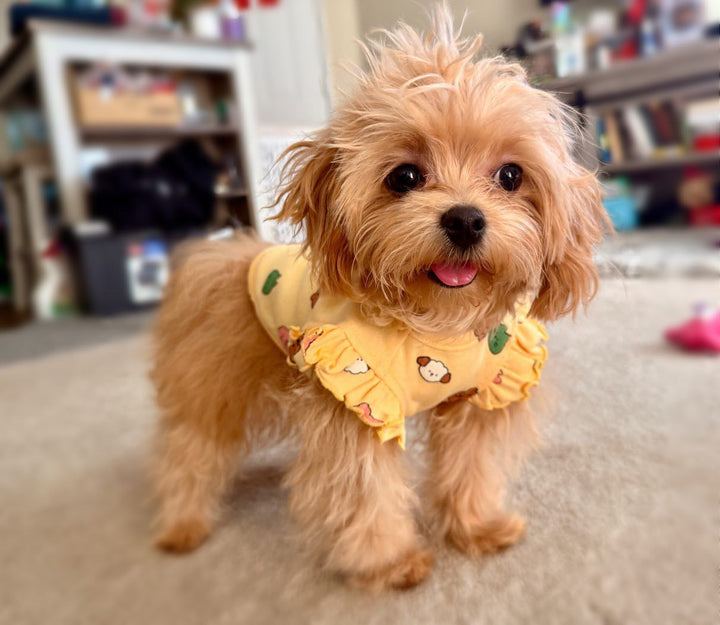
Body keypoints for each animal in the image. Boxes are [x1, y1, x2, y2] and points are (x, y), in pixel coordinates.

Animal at [150, 6, 608, 588]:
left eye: (510, 175)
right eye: (405, 176)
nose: (465, 219)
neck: (437, 326)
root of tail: (227, 255)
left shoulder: (478, 399)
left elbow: (470, 469)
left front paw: (474, 526)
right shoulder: (354, 398)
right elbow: (364, 491)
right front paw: (388, 562)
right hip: (214, 386)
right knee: (190, 451)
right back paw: (182, 525)